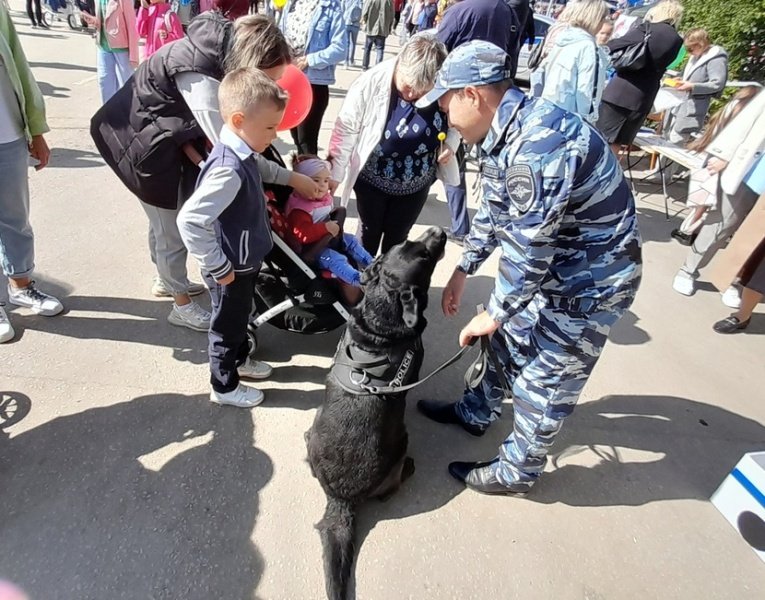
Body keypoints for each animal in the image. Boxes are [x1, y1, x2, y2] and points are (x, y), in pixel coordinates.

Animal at [306, 226, 448, 600]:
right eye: (424, 255)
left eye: (404, 242)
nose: (439, 230)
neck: (382, 319)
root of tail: (341, 498)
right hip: (401, 447)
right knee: (393, 485)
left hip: (312, 427)